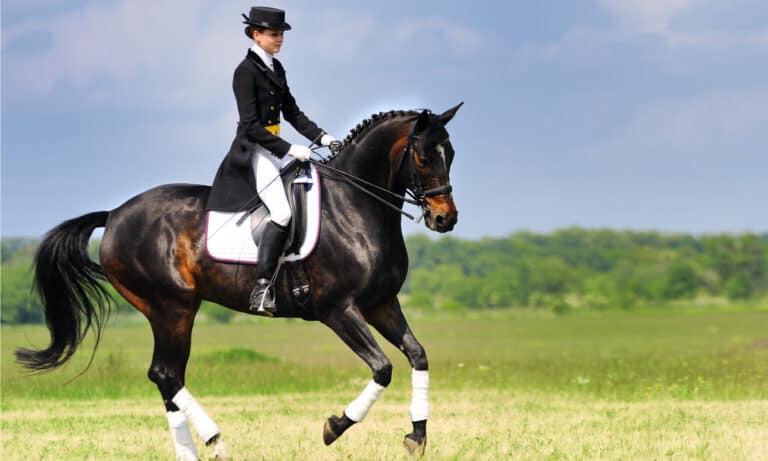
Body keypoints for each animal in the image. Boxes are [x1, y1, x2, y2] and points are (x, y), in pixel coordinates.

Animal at [16, 103, 462, 459]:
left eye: (452, 154)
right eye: (423, 156)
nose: (445, 219)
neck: (355, 207)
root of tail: (114, 215)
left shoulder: (381, 303)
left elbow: (417, 355)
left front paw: (416, 436)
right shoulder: (338, 309)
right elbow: (383, 368)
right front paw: (334, 427)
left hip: (171, 311)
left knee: (168, 377)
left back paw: (191, 453)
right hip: (172, 307)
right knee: (165, 375)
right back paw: (217, 442)